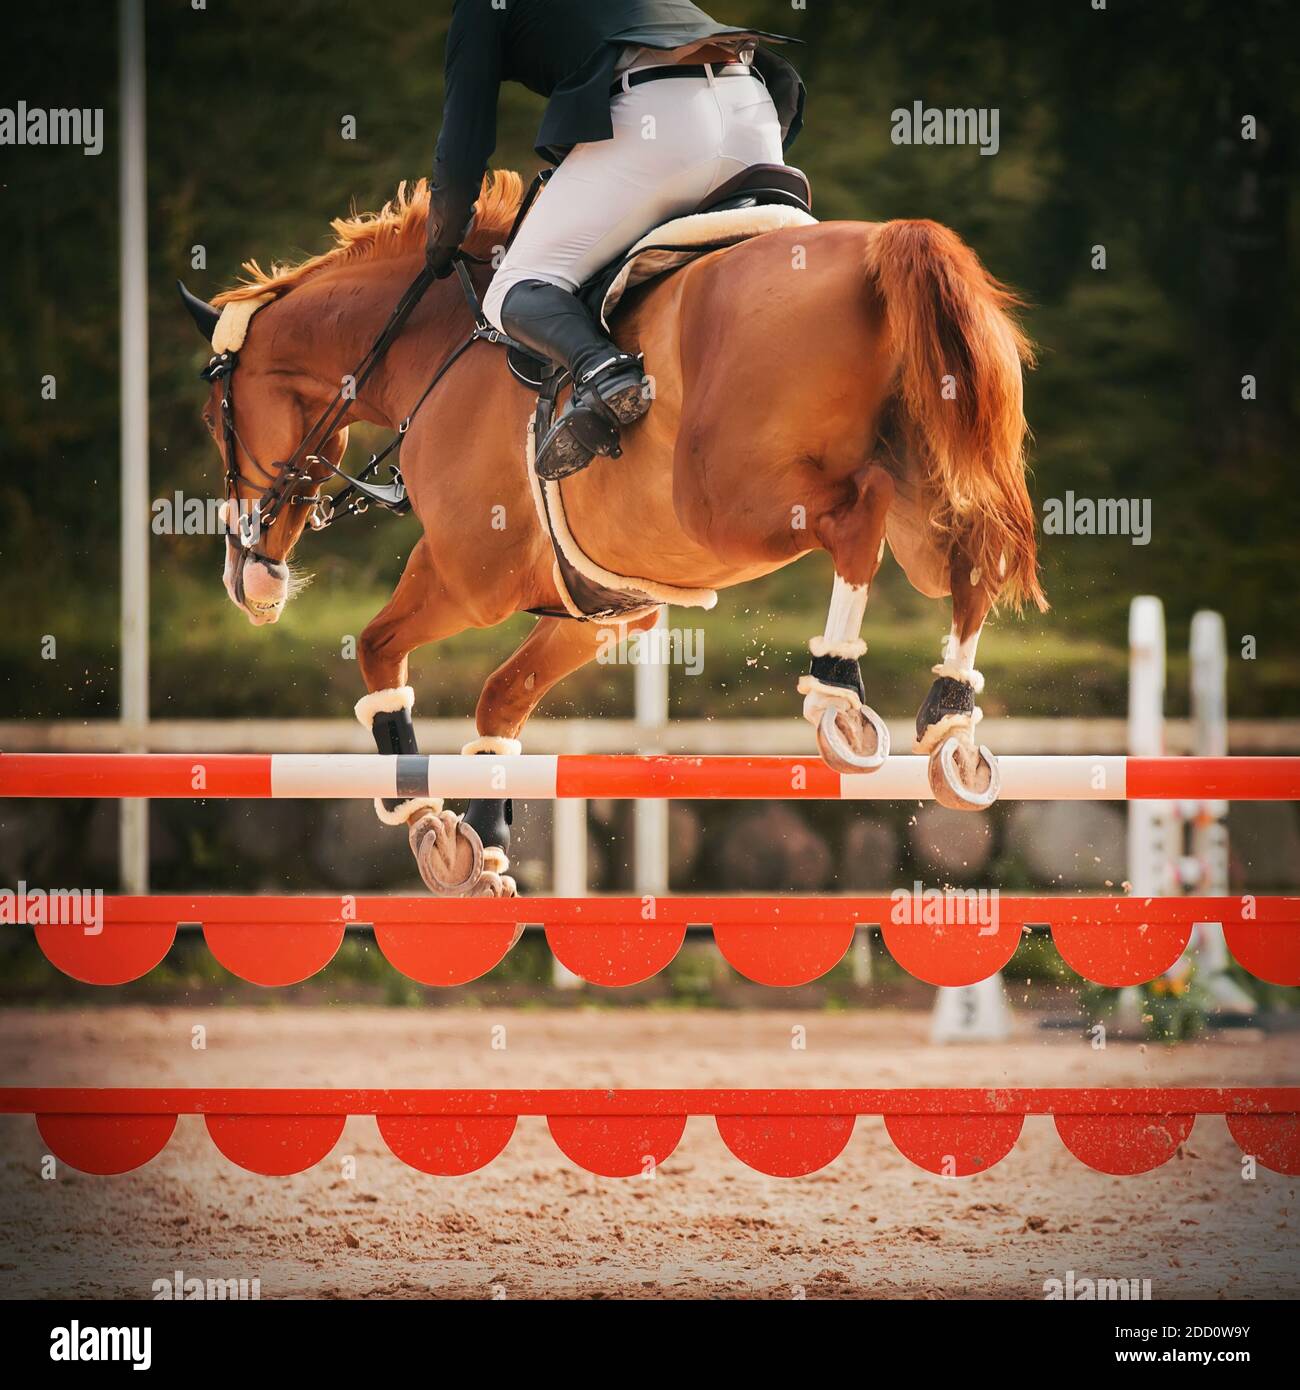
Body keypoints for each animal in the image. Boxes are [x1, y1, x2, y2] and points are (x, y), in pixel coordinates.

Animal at [183, 173, 1040, 895]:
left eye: (215, 421)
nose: (246, 579)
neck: (432, 352)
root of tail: (884, 241)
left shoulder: (466, 578)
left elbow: (377, 651)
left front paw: (431, 829)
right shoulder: (600, 614)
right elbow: (500, 699)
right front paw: (483, 842)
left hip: (731, 505)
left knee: (860, 510)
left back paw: (839, 694)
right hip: (925, 500)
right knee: (973, 555)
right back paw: (953, 726)